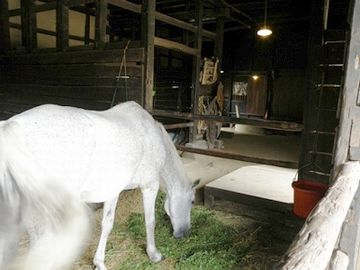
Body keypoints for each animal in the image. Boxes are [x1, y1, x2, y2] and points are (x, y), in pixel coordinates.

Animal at [0, 102, 198, 270]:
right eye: (192, 201)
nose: (184, 233)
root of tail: (12, 126)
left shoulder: (112, 189)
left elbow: (107, 224)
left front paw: (99, 262)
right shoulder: (150, 185)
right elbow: (150, 220)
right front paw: (154, 254)